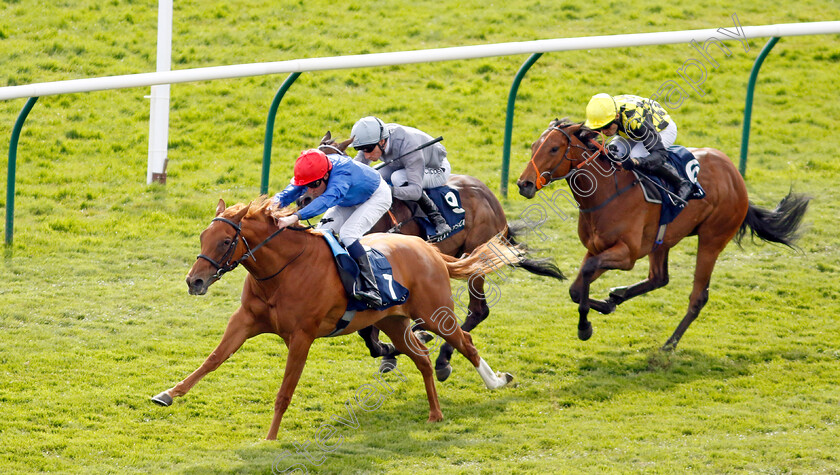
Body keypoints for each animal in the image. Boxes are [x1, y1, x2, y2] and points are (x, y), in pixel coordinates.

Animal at [152, 199, 520, 440]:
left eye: (226, 241)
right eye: (203, 237)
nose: (194, 281)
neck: (282, 271)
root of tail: (428, 249)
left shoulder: (301, 336)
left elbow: (285, 390)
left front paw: (270, 437)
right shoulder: (245, 321)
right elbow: (213, 359)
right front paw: (168, 393)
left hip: (432, 313)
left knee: (464, 342)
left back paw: (496, 382)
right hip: (394, 322)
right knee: (422, 358)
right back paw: (435, 413)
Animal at [316, 133, 564, 380]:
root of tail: (491, 197)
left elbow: (373, 328)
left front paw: (397, 347)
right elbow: (372, 330)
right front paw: (392, 349)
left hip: (476, 258)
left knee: (478, 311)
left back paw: (442, 358)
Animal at [516, 119, 812, 350]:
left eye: (554, 148)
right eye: (533, 146)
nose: (524, 184)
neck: (606, 192)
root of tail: (737, 178)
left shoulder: (627, 255)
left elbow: (586, 277)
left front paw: (585, 327)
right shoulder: (597, 248)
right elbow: (577, 289)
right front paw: (606, 304)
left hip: (712, 239)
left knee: (698, 297)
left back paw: (669, 344)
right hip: (662, 241)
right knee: (660, 277)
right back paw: (619, 295)